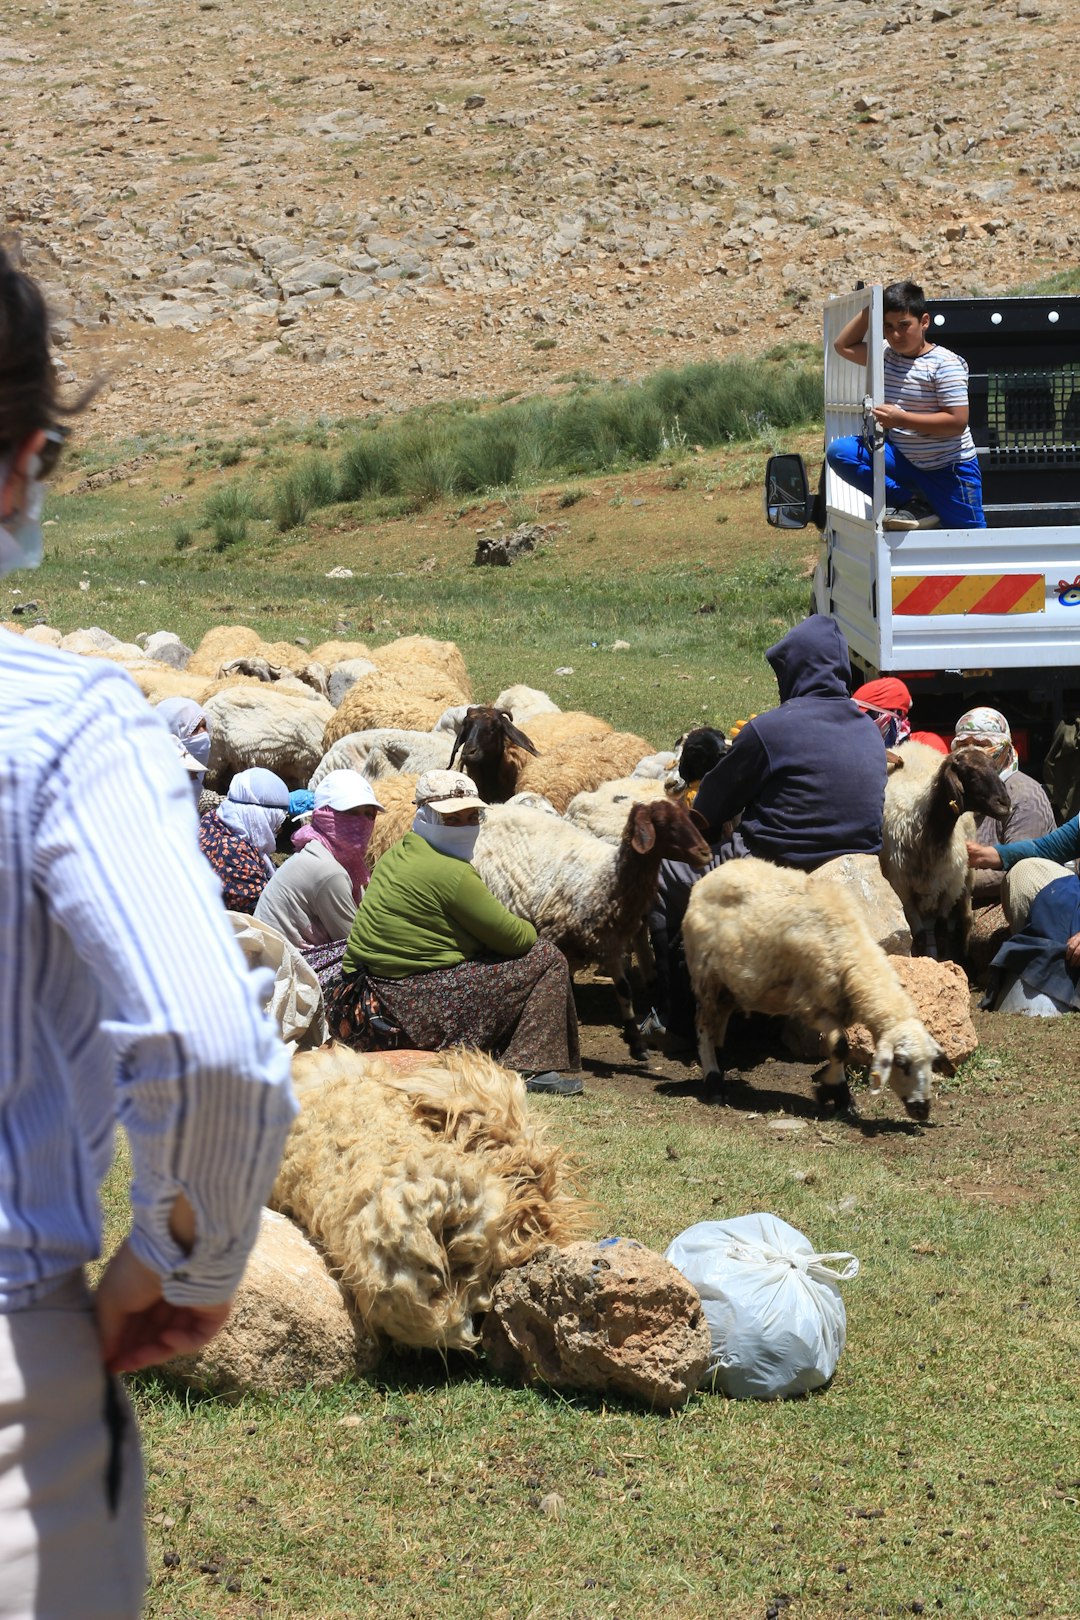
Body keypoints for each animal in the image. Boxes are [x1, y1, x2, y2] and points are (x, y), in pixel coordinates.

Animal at [472, 800, 709, 1056]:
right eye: (665, 824)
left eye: (689, 818)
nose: (705, 852)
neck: (607, 879)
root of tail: (493, 809)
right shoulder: (556, 935)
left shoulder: (609, 941)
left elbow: (624, 990)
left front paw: (636, 1042)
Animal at [683, 861, 945, 1127]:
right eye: (901, 1063)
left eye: (931, 1062)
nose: (923, 1110)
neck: (848, 946)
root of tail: (708, 878)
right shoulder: (809, 1004)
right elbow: (840, 1047)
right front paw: (837, 1095)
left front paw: (837, 1096)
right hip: (705, 975)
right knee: (704, 1026)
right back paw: (714, 1084)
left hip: (729, 985)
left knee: (719, 1023)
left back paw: (720, 1066)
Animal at [880, 748, 1016, 959]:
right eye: (971, 775)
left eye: (995, 768)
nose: (1005, 804)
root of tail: (913, 745)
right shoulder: (902, 889)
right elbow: (919, 937)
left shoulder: (950, 886)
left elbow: (942, 931)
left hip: (967, 873)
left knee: (966, 916)